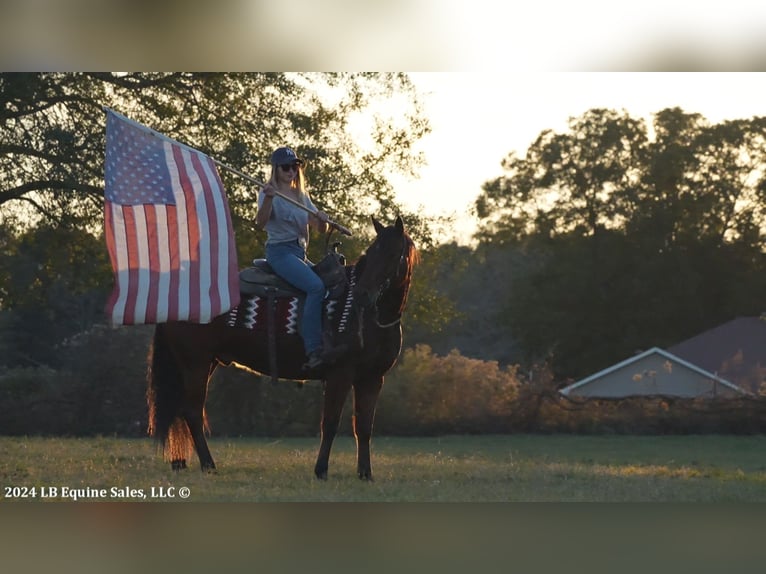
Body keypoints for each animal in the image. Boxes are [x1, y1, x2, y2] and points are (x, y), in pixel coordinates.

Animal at [146, 217, 416, 482]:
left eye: (393, 254)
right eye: (370, 254)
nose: (362, 295)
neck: (372, 318)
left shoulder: (372, 378)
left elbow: (364, 427)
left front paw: (365, 473)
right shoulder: (340, 375)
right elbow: (330, 423)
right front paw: (321, 470)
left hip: (201, 363)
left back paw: (182, 462)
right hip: (195, 363)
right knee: (192, 412)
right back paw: (208, 465)